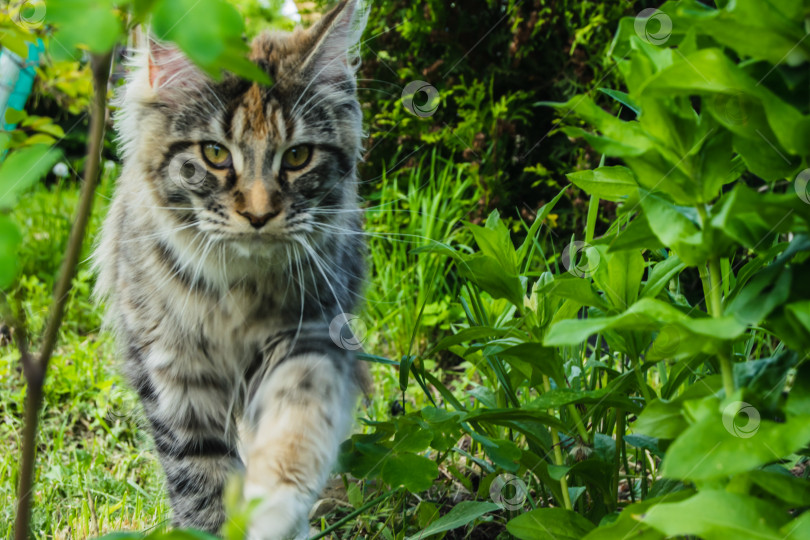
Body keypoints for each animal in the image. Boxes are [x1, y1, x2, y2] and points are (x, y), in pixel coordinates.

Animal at [94, 3, 370, 536]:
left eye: (298, 156)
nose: (259, 214)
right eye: (215, 153)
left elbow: (294, 432)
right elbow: (203, 484)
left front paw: (274, 505)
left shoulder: (311, 336)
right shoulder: (175, 377)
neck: (237, 295)